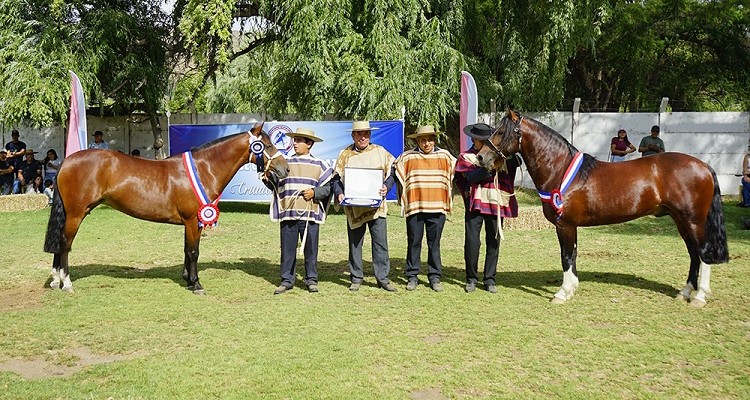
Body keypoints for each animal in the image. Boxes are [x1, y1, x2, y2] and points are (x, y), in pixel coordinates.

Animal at [44, 122, 290, 294]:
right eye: (267, 146)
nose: (286, 169)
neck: (203, 169)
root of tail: (66, 161)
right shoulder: (192, 220)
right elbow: (193, 251)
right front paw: (196, 284)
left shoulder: (193, 221)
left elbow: (187, 249)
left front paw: (188, 279)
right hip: (76, 214)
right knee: (64, 244)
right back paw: (66, 283)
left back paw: (56, 280)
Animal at [478, 108, 732, 306]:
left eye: (501, 132)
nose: (481, 157)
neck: (561, 170)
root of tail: (704, 166)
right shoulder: (570, 226)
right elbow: (573, 255)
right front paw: (572, 287)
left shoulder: (565, 225)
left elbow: (566, 256)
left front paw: (562, 293)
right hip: (680, 220)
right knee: (694, 254)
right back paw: (685, 292)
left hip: (693, 220)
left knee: (704, 254)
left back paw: (699, 297)